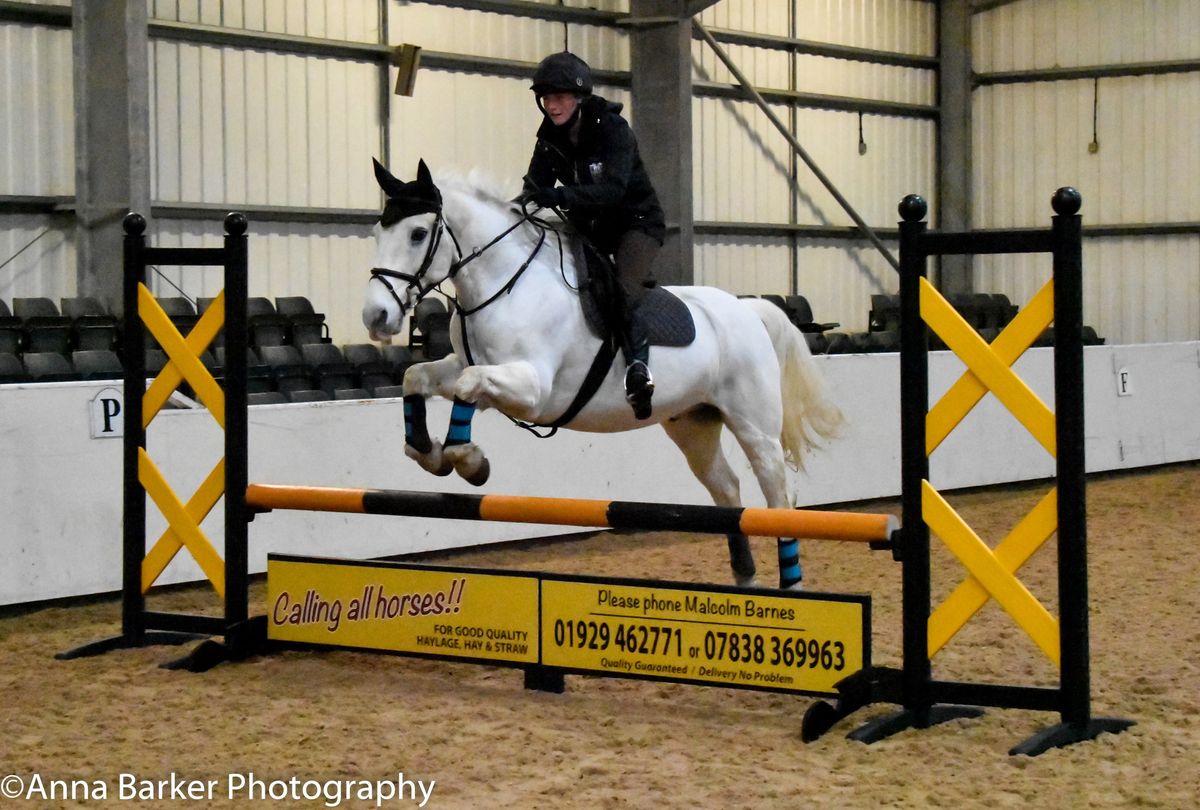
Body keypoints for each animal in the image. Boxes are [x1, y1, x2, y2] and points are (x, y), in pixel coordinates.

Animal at [360, 159, 840, 590]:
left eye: (418, 233)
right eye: (378, 233)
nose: (376, 316)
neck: (506, 284)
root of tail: (748, 308)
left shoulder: (534, 388)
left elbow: (468, 385)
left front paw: (469, 460)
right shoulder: (469, 365)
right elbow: (417, 377)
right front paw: (429, 452)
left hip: (755, 426)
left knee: (779, 498)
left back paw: (791, 587)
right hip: (692, 424)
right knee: (727, 490)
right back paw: (744, 577)